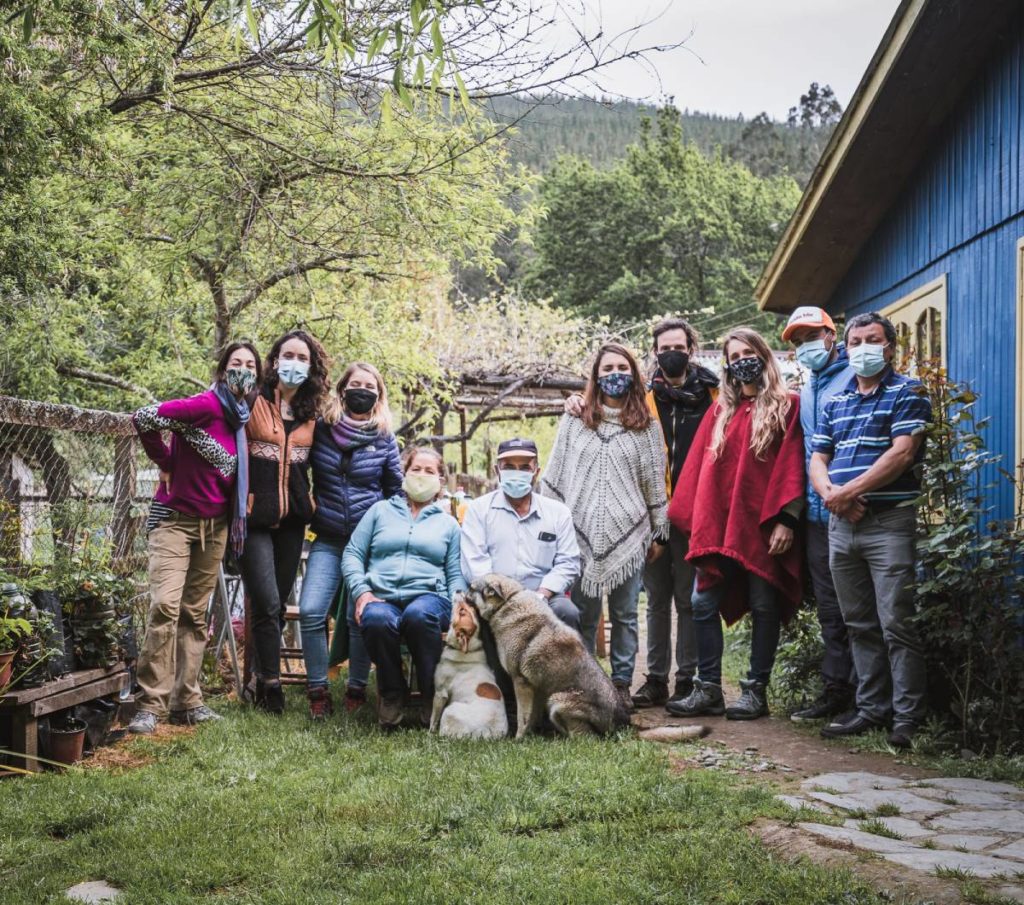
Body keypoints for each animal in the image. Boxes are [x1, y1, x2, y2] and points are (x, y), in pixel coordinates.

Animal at [430, 597, 509, 737]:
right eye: (472, 610)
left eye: (462, 612)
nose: (463, 595)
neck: (469, 648)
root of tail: (485, 732)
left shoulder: (440, 693)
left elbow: (433, 718)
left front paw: (429, 732)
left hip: (449, 710)